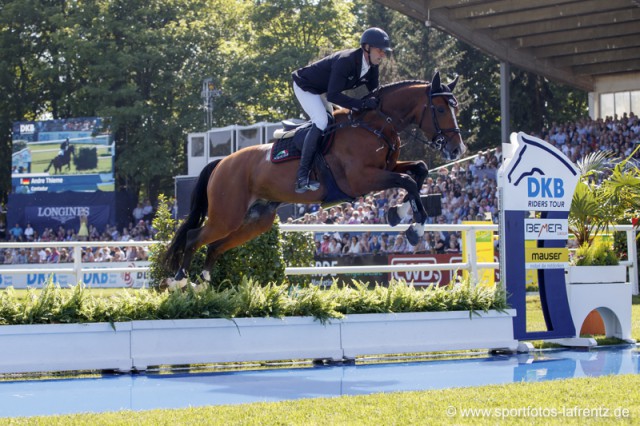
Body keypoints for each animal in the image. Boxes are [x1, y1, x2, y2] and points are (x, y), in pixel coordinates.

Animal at [164, 71, 464, 288]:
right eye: (440, 110)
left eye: (455, 108)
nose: (457, 150)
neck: (375, 125)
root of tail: (222, 163)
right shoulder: (361, 179)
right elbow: (408, 181)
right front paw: (414, 228)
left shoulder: (386, 168)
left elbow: (419, 171)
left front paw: (398, 213)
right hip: (227, 215)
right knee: (193, 237)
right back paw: (179, 280)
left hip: (255, 222)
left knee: (215, 246)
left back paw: (203, 282)